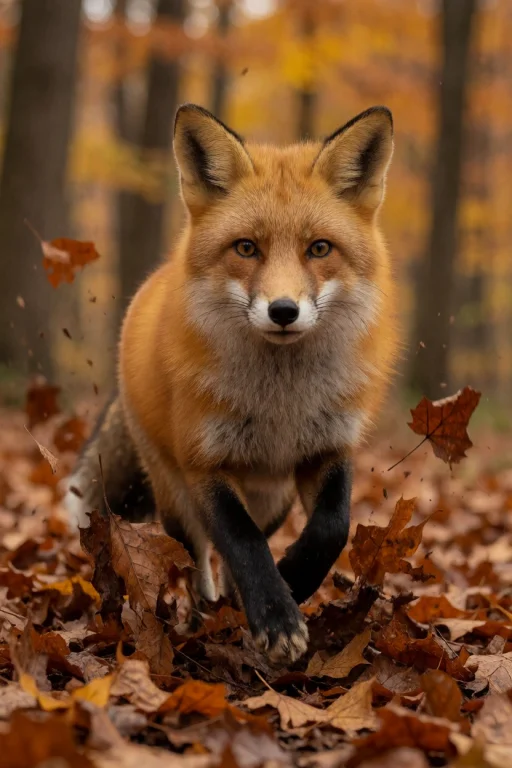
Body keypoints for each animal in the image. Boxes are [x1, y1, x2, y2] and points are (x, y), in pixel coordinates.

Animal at [66, 103, 397, 665]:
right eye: (246, 248)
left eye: (319, 248)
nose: (283, 311)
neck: (282, 404)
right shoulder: (205, 462)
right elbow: (240, 541)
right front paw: (276, 615)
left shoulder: (329, 447)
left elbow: (332, 528)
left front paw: (293, 580)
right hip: (174, 494)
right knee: (200, 553)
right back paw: (205, 611)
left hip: (273, 500)